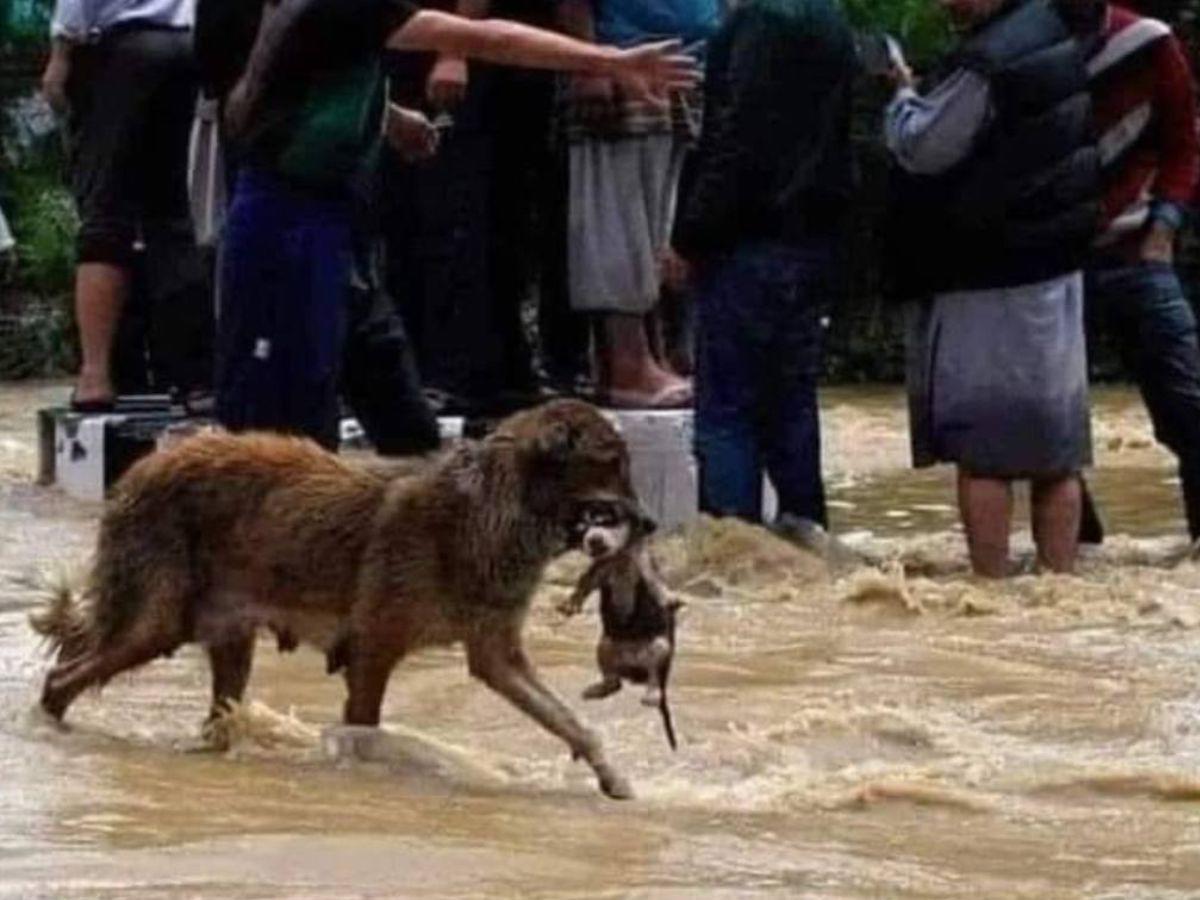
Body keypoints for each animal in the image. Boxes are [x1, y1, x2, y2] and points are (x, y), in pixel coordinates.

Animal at [28, 400, 643, 796]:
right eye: (612, 462)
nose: (650, 522)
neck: (495, 507)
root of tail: (142, 467)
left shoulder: (498, 657)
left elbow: (570, 722)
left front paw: (613, 778)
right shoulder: (372, 652)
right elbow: (365, 727)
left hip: (226, 639)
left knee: (215, 715)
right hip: (155, 623)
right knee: (61, 678)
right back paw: (50, 736)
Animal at [556, 501, 681, 753]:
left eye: (607, 521)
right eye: (583, 527)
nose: (594, 540)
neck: (619, 557)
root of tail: (634, 671)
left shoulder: (644, 566)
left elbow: (656, 586)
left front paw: (669, 599)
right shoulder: (599, 570)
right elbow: (583, 583)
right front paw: (569, 604)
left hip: (660, 647)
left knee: (654, 677)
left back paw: (652, 694)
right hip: (605, 645)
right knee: (613, 682)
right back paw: (598, 688)